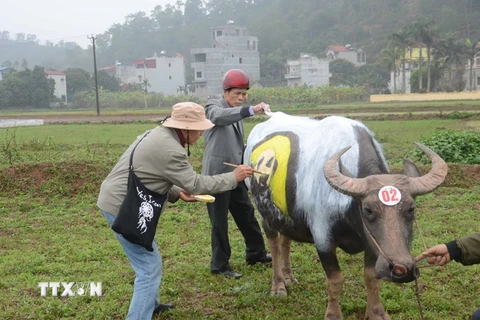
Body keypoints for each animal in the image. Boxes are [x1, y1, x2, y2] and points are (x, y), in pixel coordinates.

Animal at [246, 114, 448, 320]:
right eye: (368, 210)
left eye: (411, 209)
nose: (402, 270)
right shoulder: (323, 238)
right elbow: (335, 280)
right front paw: (333, 314)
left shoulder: (371, 243)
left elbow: (371, 277)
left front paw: (376, 312)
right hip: (264, 214)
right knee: (274, 245)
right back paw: (279, 285)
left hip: (286, 216)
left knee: (285, 241)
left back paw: (289, 277)